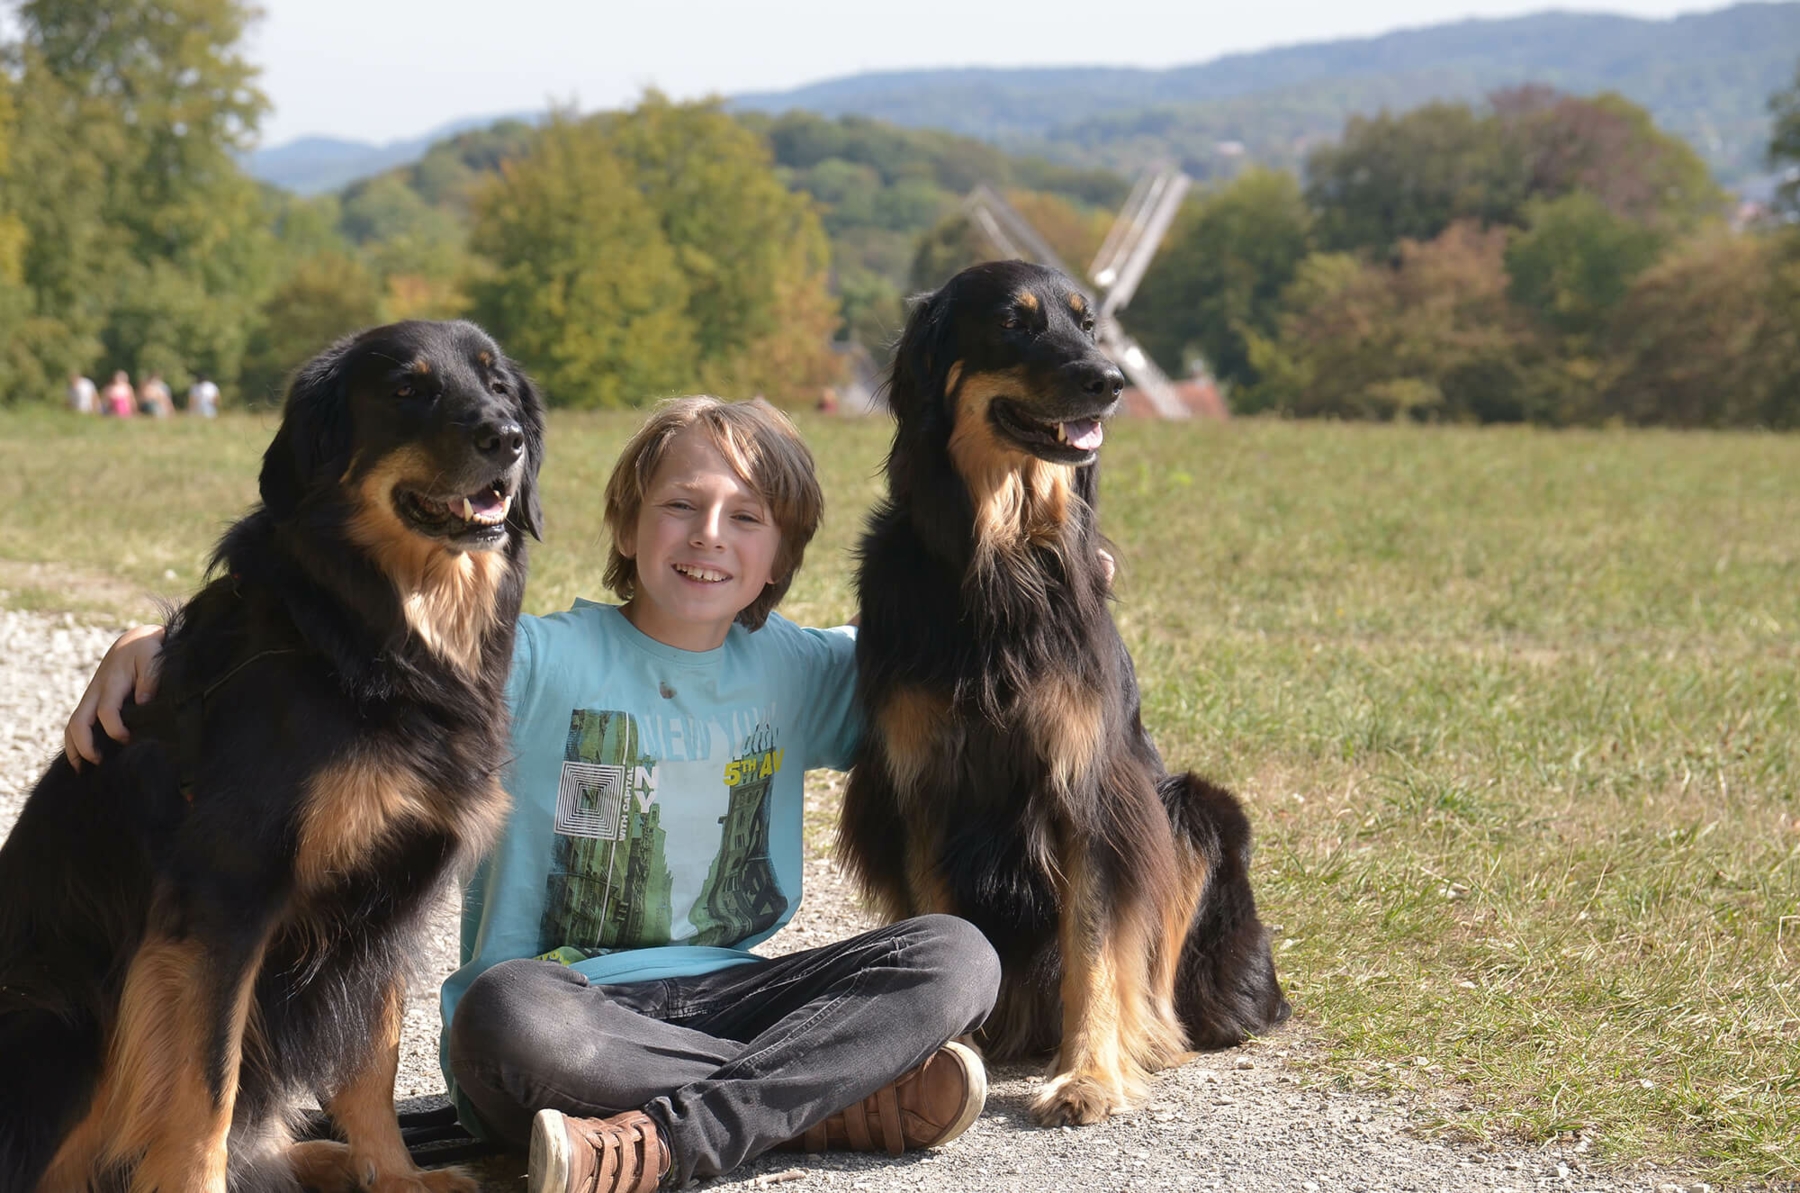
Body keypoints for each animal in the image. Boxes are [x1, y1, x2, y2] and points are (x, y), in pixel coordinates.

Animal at [0, 322, 540, 1187]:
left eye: (500, 385)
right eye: (407, 390)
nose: (506, 436)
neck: (361, 635)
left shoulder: (383, 902)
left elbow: (371, 1063)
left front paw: (395, 1175)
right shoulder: (226, 899)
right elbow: (204, 1087)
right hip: (59, 1019)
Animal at [842, 260, 1296, 1130]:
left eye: (1088, 323)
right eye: (1014, 324)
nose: (1110, 380)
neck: (998, 556)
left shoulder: (1091, 787)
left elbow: (1096, 949)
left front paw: (1089, 1076)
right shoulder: (920, 788)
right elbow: (950, 930)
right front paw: (950, 1054)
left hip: (1193, 808)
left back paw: (1148, 1039)